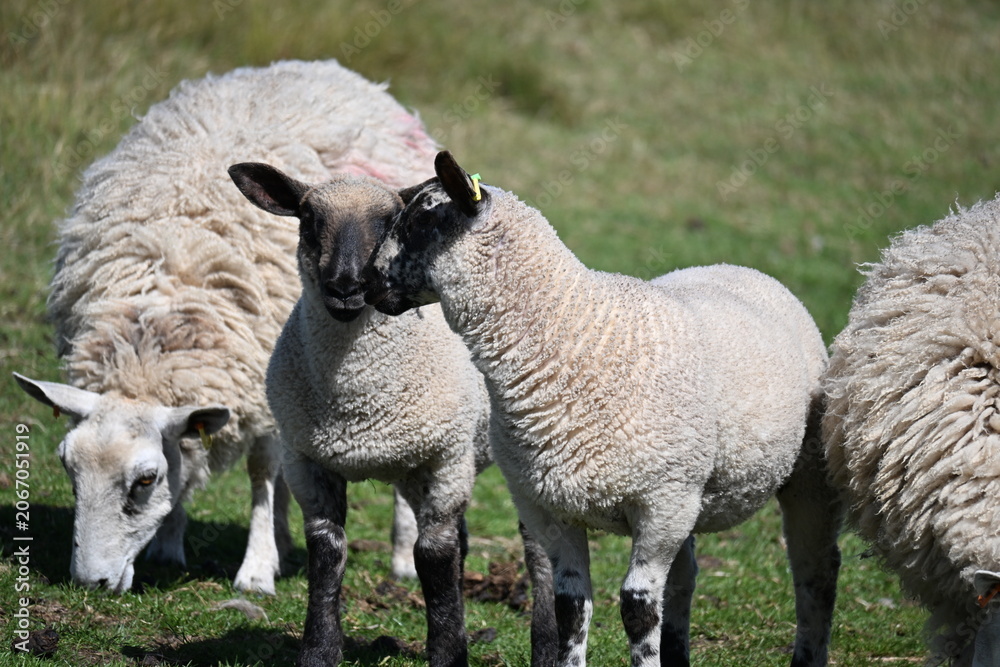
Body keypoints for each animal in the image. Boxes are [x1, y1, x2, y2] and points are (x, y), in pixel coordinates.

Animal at [12, 59, 439, 595]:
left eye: (144, 480)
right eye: (68, 469)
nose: (91, 582)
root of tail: (320, 66)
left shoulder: (261, 374)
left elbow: (261, 470)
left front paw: (256, 570)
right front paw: (170, 545)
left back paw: (400, 557)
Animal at [228, 162, 556, 666]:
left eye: (389, 223)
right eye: (308, 221)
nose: (346, 287)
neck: (358, 403)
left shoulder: (446, 459)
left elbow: (433, 555)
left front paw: (448, 653)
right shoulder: (307, 461)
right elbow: (327, 552)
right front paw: (319, 651)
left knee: (537, 551)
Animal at [362, 151, 844, 666]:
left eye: (422, 220)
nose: (364, 285)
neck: (571, 338)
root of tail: (739, 267)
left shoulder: (661, 504)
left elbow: (637, 607)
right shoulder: (549, 508)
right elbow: (571, 607)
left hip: (801, 476)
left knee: (816, 571)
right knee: (685, 577)